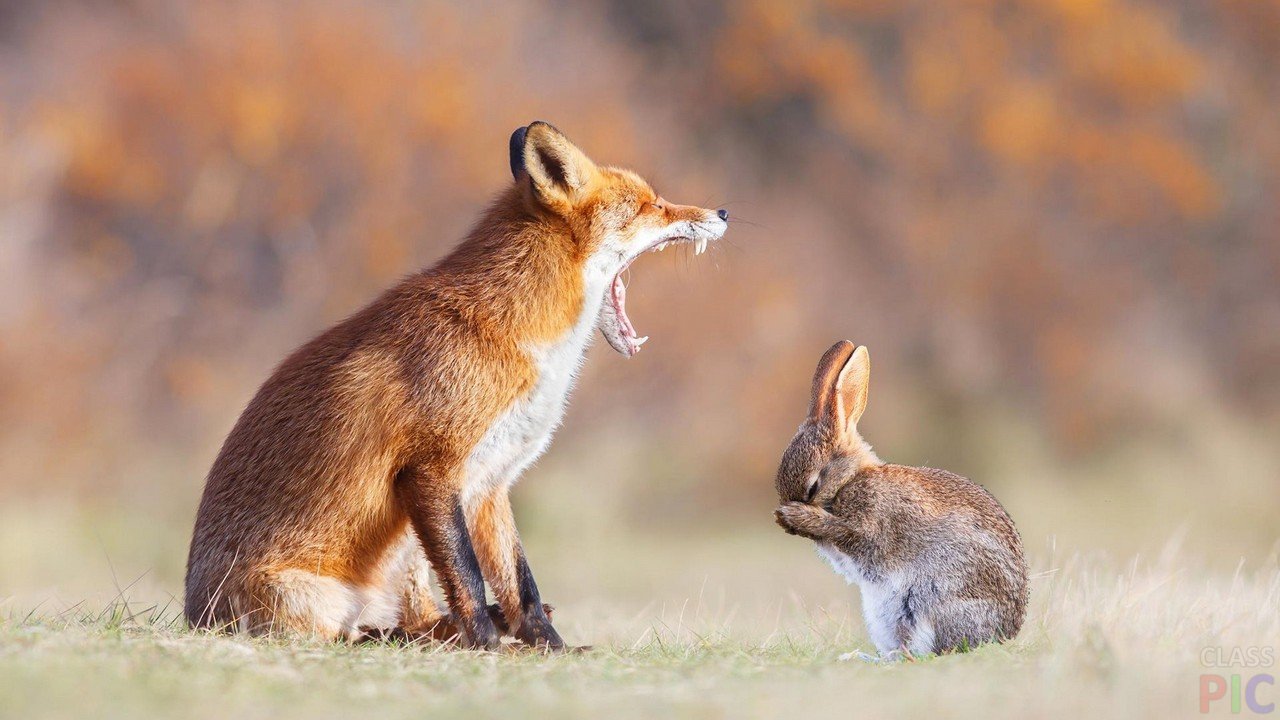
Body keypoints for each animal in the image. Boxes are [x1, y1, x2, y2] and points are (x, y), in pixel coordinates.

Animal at [186, 120, 732, 648]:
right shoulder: (431, 469)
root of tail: (195, 615)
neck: (519, 335)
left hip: (405, 552)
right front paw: (487, 644)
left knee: (418, 617)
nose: (724, 211)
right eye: (652, 205)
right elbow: (467, 576)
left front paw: (548, 646)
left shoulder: (491, 481)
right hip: (317, 594)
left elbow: (520, 582)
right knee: (350, 634)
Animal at [768, 338, 1029, 661]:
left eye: (813, 487)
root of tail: (1002, 634)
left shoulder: (872, 525)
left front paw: (796, 517)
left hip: (928, 601)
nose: (785, 515)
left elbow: (849, 533)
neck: (850, 479)